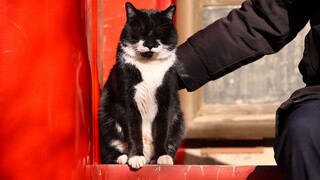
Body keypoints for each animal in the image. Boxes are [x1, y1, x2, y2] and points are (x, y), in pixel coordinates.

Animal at [99, 2, 186, 169]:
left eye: (159, 33)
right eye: (141, 33)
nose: (150, 45)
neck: (149, 66)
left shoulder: (167, 99)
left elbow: (163, 131)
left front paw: (163, 156)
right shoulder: (127, 102)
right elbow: (133, 131)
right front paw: (135, 157)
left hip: (179, 122)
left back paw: (154, 159)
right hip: (106, 119)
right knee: (110, 150)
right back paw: (123, 158)